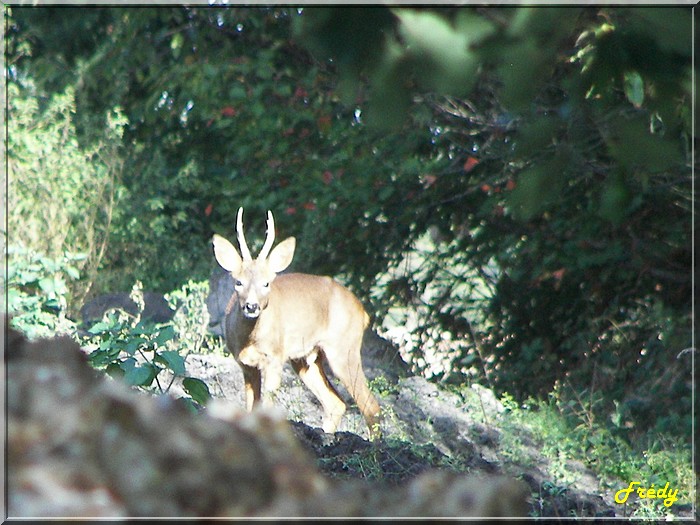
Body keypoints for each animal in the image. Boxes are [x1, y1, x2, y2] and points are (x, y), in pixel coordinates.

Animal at [211, 207, 380, 436]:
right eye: (238, 282)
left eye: (267, 283)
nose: (251, 306)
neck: (251, 339)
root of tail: (362, 312)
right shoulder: (246, 365)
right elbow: (250, 408)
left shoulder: (275, 358)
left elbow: (267, 407)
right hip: (306, 359)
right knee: (336, 403)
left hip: (344, 350)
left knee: (370, 406)